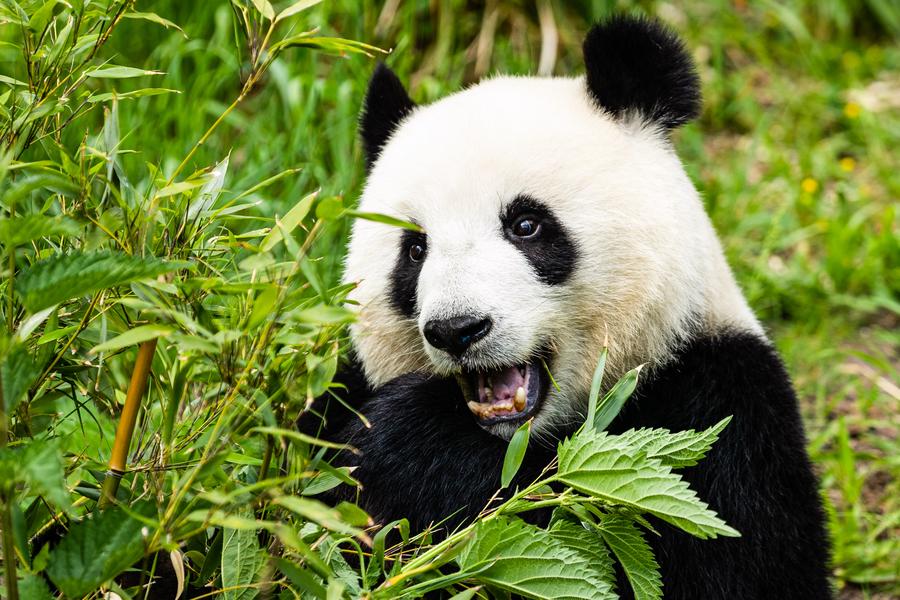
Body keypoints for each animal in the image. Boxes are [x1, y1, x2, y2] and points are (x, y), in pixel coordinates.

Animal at [306, 14, 832, 600]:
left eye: (526, 224)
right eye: (415, 249)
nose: (457, 329)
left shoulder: (723, 404)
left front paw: (410, 443)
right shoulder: (341, 387)